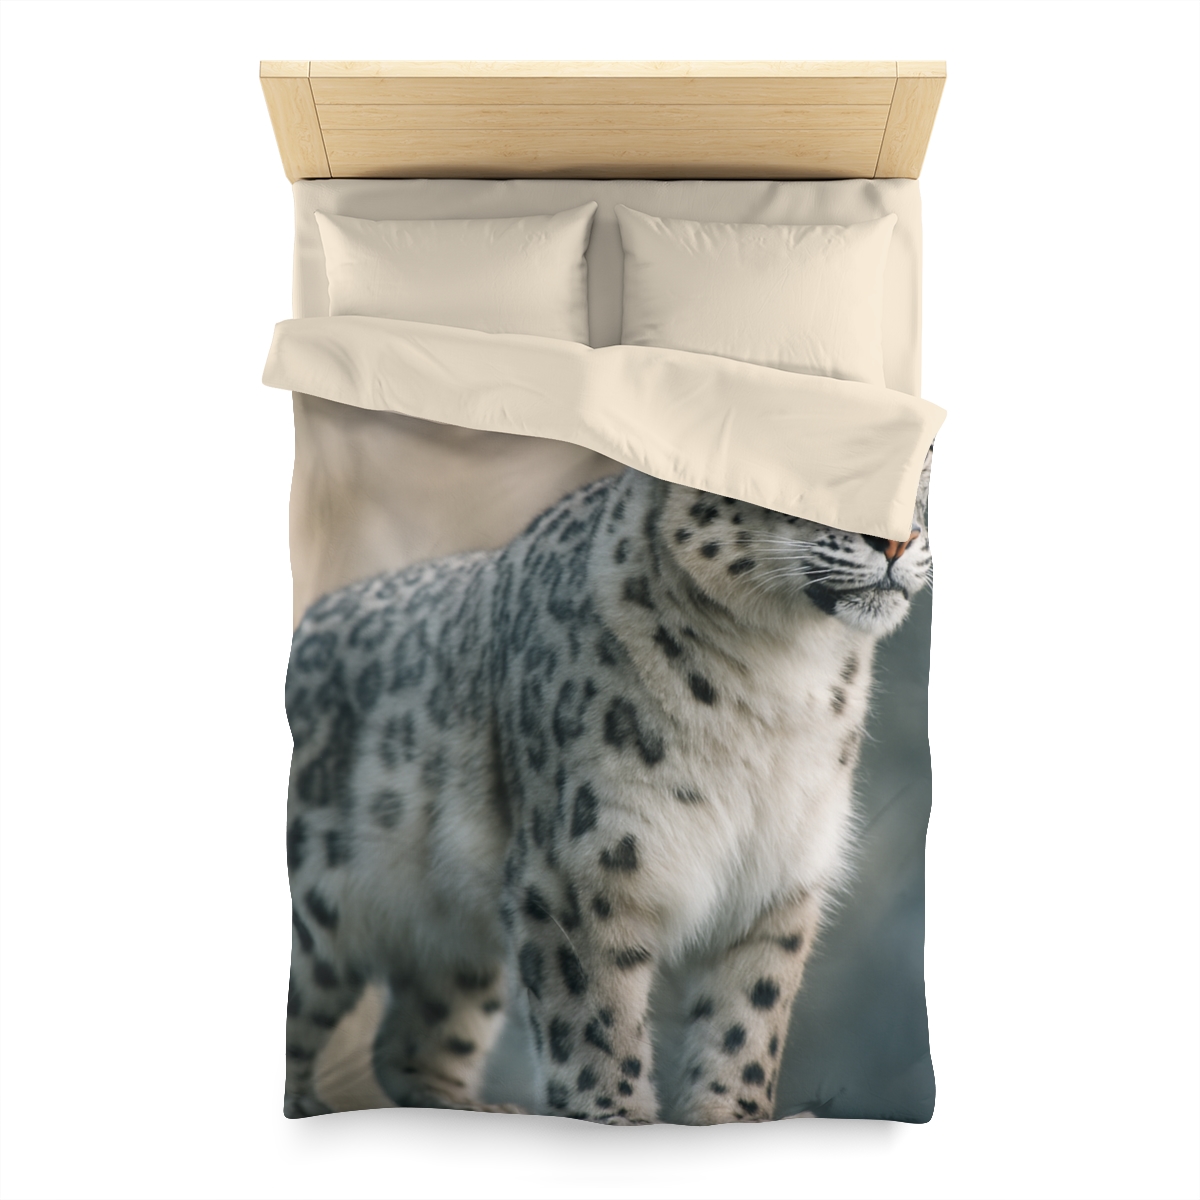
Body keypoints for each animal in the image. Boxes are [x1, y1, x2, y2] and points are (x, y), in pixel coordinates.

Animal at [282, 454, 932, 1124]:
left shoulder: (780, 876)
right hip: (318, 909)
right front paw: (616, 1116)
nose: (896, 542)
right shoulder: (584, 866)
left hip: (453, 937)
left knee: (414, 1039)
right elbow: (595, 1014)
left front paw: (731, 1116)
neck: (783, 677)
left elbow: (748, 1016)